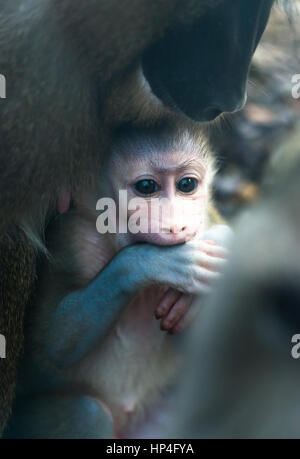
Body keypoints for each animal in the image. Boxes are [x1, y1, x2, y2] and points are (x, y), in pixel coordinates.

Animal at [5, 125, 232, 438]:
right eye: (147, 187)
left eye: (187, 184)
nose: (177, 225)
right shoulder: (73, 239)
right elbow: (49, 345)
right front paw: (150, 261)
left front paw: (223, 242)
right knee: (87, 414)